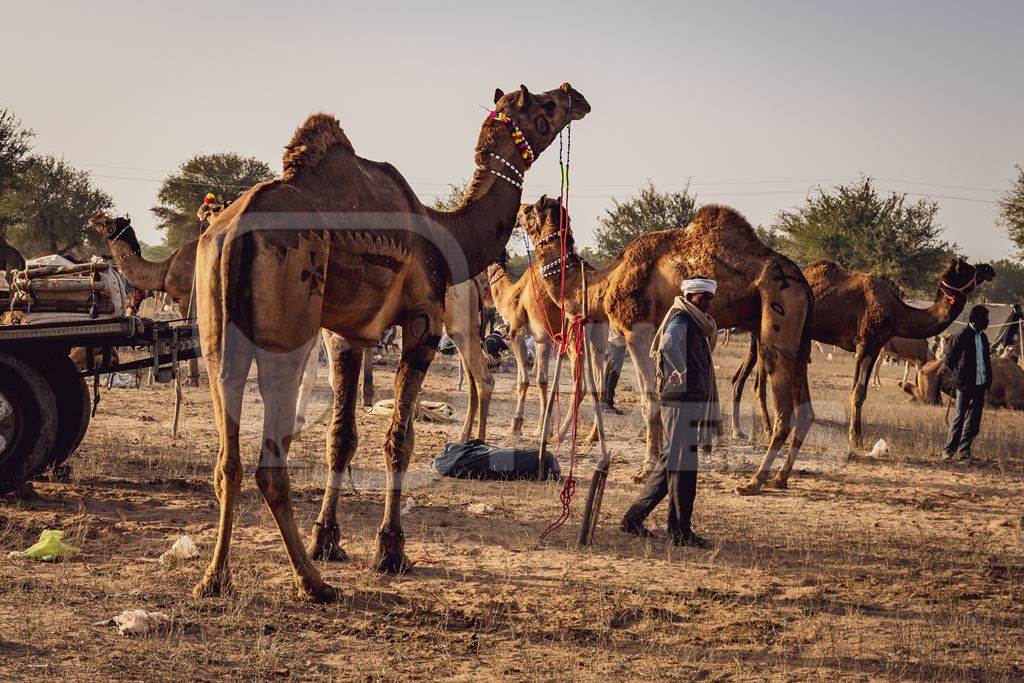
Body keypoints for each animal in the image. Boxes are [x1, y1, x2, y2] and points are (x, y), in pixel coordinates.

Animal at [485, 253, 565, 436]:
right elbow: (544, 381)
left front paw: (517, 424)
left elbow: (525, 380)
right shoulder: (540, 339)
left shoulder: (518, 333)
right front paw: (544, 427)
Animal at [520, 194, 815, 493]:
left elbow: (649, 401)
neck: (603, 284)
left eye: (531, 209)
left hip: (778, 320)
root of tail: (802, 282)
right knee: (805, 410)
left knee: (784, 409)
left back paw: (755, 480)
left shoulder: (636, 330)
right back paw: (781, 477)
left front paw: (645, 469)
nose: (519, 209)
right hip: (800, 341)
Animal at [733, 258, 995, 448]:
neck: (896, 311)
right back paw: (768, 430)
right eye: (966, 267)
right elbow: (857, 393)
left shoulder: (877, 346)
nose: (989, 269)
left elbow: (863, 392)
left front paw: (856, 435)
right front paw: (855, 438)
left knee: (749, 376)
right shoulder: (863, 343)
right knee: (759, 382)